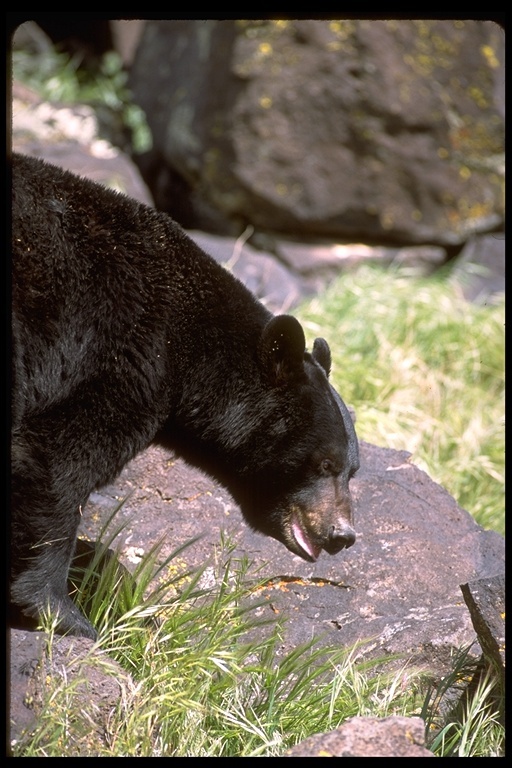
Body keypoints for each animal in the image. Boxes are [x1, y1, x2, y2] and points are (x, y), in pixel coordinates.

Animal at [10, 153, 358, 640]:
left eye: (353, 470)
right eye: (324, 464)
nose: (343, 535)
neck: (189, 345)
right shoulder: (119, 358)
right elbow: (60, 463)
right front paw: (64, 612)